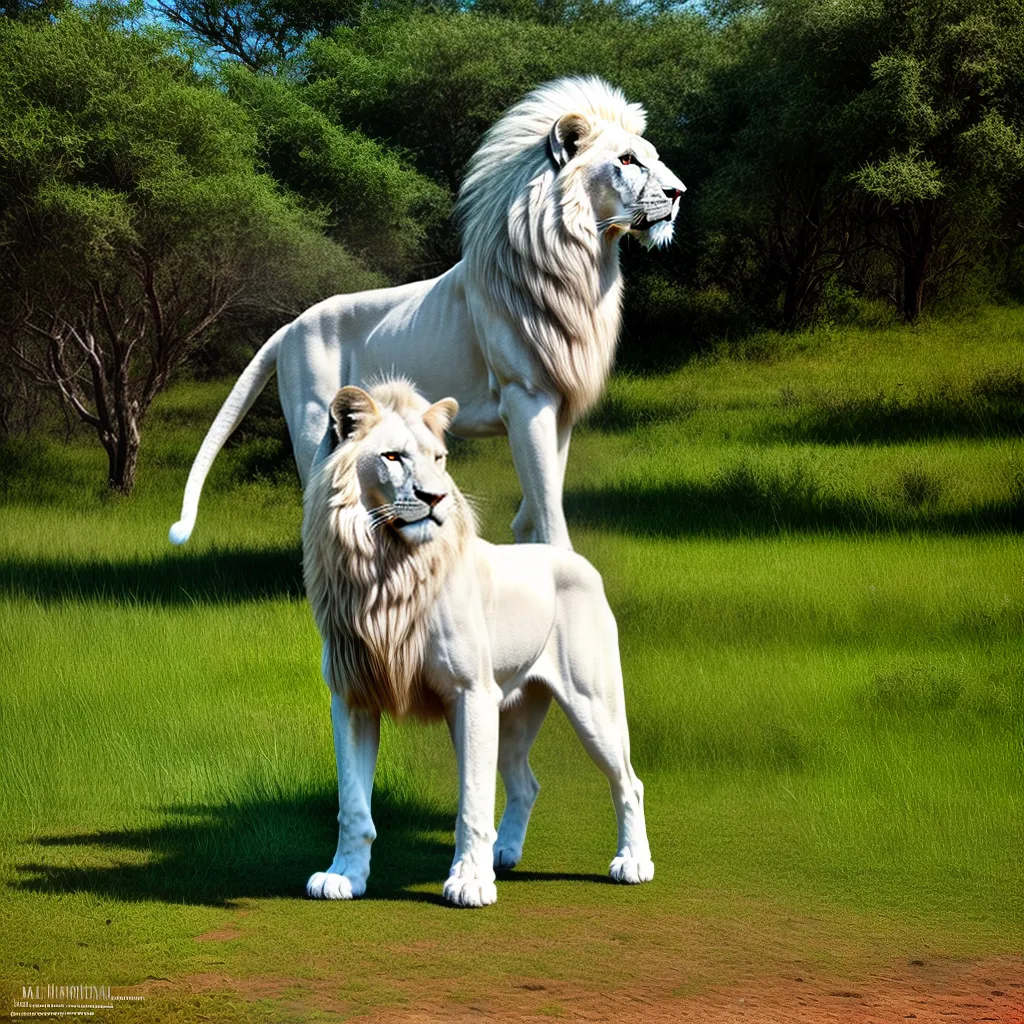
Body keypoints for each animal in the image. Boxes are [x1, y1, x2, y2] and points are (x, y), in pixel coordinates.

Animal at [169, 76, 685, 551]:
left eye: (652, 156)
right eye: (627, 160)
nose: (679, 192)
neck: (584, 266)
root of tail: (291, 325)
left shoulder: (559, 404)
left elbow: (543, 494)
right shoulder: (525, 395)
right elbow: (547, 503)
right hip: (315, 423)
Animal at [302, 379, 653, 906]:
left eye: (440, 458)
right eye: (392, 457)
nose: (434, 497)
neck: (384, 572)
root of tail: (571, 558)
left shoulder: (471, 696)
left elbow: (472, 801)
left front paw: (469, 882)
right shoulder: (353, 698)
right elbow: (354, 804)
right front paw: (343, 875)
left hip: (593, 705)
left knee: (629, 783)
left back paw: (632, 862)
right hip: (513, 713)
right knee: (527, 783)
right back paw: (504, 853)